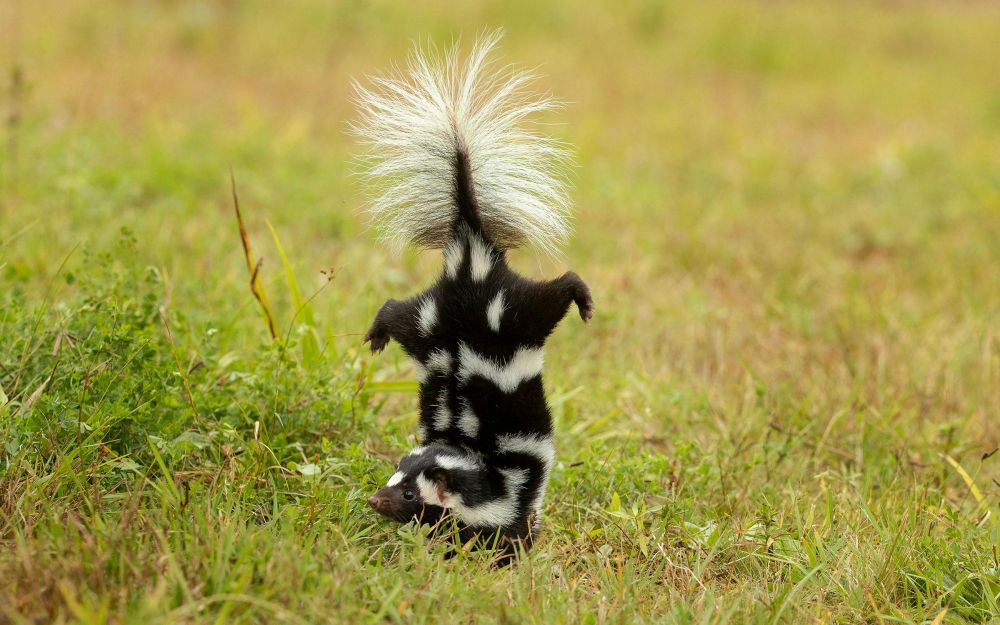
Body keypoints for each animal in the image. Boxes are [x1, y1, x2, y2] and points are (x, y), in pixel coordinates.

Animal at [358, 31, 592, 556]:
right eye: (394, 480)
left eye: (409, 492)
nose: (374, 501)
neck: (479, 462)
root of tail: (470, 255)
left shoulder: (515, 494)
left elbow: (509, 531)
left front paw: (513, 550)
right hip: (455, 317)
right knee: (396, 310)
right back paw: (377, 334)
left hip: (487, 312)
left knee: (558, 288)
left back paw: (584, 298)